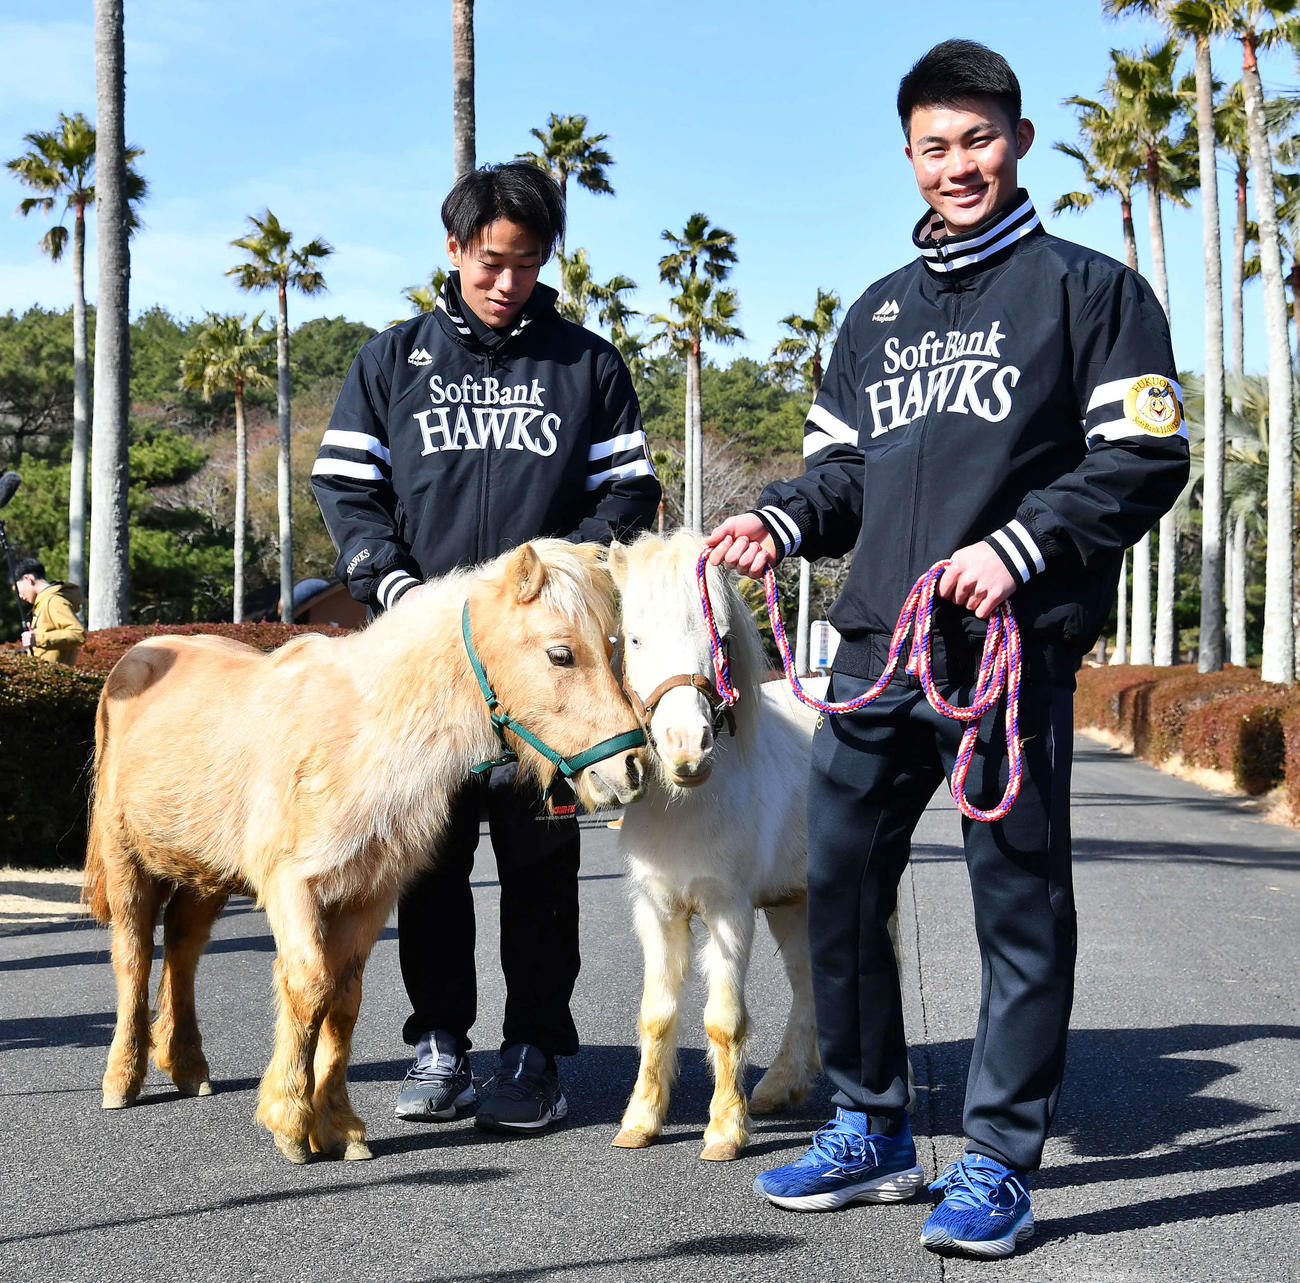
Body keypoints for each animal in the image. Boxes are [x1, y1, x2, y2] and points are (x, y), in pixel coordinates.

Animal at [82, 540, 647, 1165]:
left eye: (615, 648)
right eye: (561, 654)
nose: (630, 767)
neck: (361, 739)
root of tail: (135, 658)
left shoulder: (370, 896)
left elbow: (343, 1000)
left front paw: (337, 1125)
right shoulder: (292, 888)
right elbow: (309, 987)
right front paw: (290, 1120)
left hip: (203, 874)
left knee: (182, 951)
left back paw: (186, 1065)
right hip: (127, 863)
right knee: (134, 957)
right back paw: (121, 1079)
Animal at [607, 530, 825, 1162]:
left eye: (720, 638)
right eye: (634, 637)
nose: (688, 748)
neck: (687, 806)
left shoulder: (729, 909)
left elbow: (723, 1020)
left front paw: (726, 1129)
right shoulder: (657, 910)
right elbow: (656, 1015)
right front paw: (641, 1120)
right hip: (792, 900)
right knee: (807, 982)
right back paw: (781, 1086)